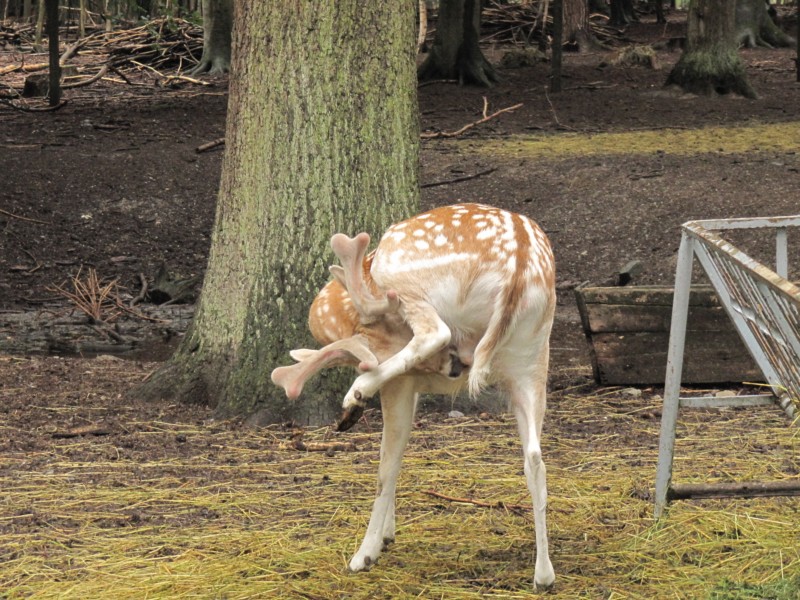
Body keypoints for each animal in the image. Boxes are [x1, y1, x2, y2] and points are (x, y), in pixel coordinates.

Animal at [268, 204, 556, 588]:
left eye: (372, 333)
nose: (455, 365)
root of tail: (519, 265)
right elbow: (398, 451)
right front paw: (387, 534)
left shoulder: (401, 381)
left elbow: (386, 463)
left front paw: (369, 551)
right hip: (532, 359)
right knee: (535, 458)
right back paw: (544, 575)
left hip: (402, 273)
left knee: (434, 331)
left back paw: (355, 395)